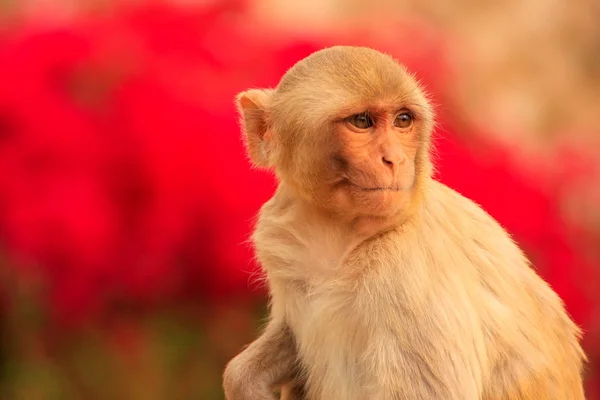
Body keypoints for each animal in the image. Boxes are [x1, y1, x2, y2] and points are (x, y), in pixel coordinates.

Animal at [221, 45, 584, 398]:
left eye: (403, 120)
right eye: (362, 121)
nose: (394, 159)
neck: (341, 235)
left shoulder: (407, 277)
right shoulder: (281, 240)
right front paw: (245, 378)